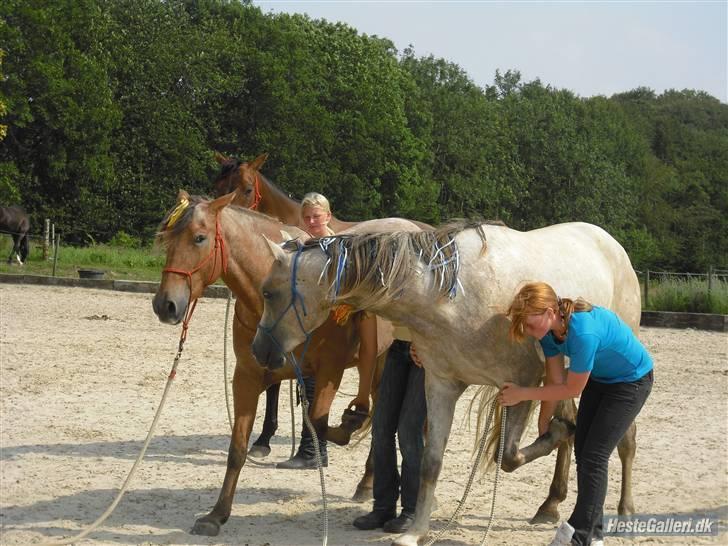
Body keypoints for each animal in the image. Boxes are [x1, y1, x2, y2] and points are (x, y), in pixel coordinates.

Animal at [152, 191, 420, 536]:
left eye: (199, 238)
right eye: (167, 237)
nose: (165, 305)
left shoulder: (328, 372)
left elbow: (319, 422)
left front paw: (346, 427)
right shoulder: (247, 376)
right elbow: (238, 448)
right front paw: (216, 515)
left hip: (383, 365)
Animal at [253, 220, 640, 544]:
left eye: (268, 292)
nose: (258, 351)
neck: (450, 297)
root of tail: (613, 245)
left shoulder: (524, 382)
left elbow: (509, 456)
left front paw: (557, 431)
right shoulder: (441, 385)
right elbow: (430, 462)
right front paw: (415, 532)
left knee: (624, 440)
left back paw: (624, 513)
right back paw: (550, 506)